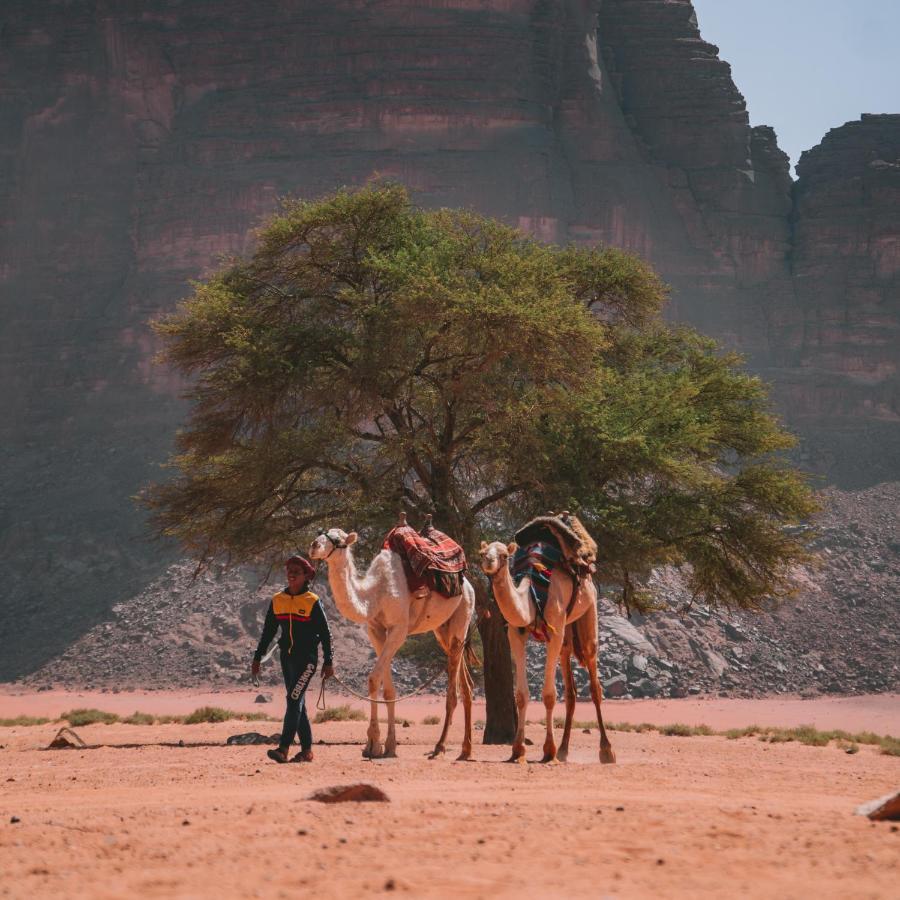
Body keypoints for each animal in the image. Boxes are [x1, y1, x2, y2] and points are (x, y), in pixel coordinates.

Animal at [310, 524, 478, 764]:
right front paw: (386, 746)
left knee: (453, 692)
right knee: (466, 683)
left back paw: (440, 747)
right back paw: (466, 750)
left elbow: (373, 679)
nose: (314, 546)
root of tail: (469, 585)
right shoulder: (376, 630)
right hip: (443, 630)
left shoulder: (399, 629)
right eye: (321, 533)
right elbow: (388, 689)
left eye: (338, 540)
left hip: (462, 614)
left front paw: (373, 744)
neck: (374, 594)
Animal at [478, 540, 612, 768]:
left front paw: (549, 751)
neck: (532, 599)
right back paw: (564, 750)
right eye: (483, 552)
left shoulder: (554, 631)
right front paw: (518, 751)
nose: (488, 561)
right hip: (567, 632)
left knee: (594, 683)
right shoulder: (515, 634)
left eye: (505, 555)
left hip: (588, 613)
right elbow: (521, 695)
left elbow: (549, 695)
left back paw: (606, 751)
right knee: (570, 689)